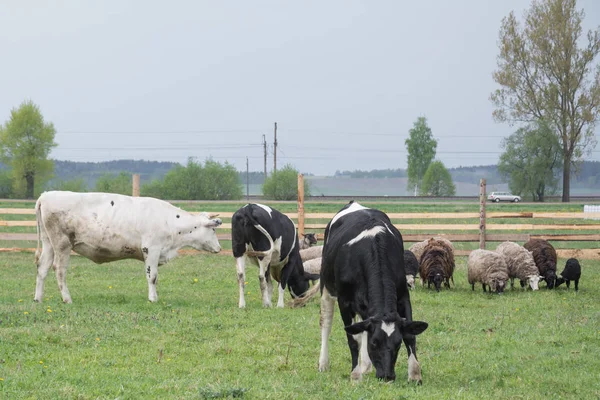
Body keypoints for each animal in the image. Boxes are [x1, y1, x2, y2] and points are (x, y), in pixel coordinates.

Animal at [32, 191, 221, 304]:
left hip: (48, 243)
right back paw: (67, 299)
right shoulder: (151, 249)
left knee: (42, 268)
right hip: (62, 243)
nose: (219, 248)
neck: (170, 221)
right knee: (59, 269)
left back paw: (38, 298)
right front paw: (153, 299)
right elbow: (152, 277)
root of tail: (46, 195)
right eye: (213, 229)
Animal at [316, 202, 428, 382]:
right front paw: (355, 375)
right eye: (374, 343)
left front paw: (415, 374)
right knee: (326, 322)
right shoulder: (344, 301)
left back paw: (366, 366)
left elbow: (410, 335)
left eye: (397, 343)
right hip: (326, 287)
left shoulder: (403, 295)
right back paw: (324, 364)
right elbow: (353, 338)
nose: (387, 376)